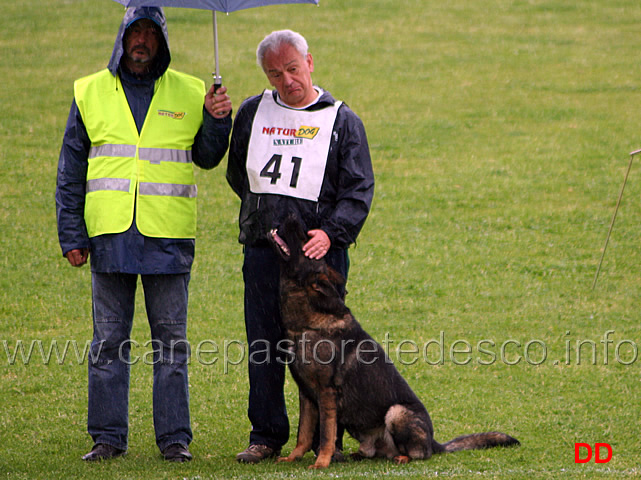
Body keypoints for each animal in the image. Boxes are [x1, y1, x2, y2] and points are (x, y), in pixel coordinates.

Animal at [268, 217, 516, 468]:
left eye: (305, 240)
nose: (291, 215)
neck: (308, 319)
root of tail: (434, 442)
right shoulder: (307, 395)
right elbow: (304, 433)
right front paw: (293, 457)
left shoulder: (326, 394)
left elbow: (326, 434)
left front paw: (322, 462)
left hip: (396, 413)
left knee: (420, 453)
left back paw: (403, 456)